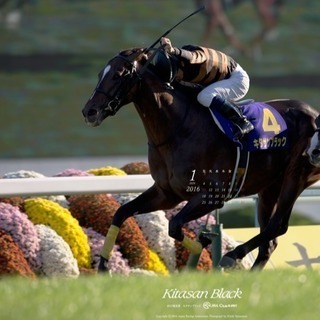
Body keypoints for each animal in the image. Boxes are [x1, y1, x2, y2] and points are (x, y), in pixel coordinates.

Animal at [82, 47, 320, 272]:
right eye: (100, 74)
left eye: (118, 75)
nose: (89, 111)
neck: (179, 129)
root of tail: (314, 113)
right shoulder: (166, 193)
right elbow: (121, 213)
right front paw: (103, 266)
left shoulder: (213, 195)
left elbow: (175, 224)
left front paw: (203, 244)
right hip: (269, 187)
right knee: (269, 243)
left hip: (296, 176)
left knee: (277, 226)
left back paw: (232, 255)